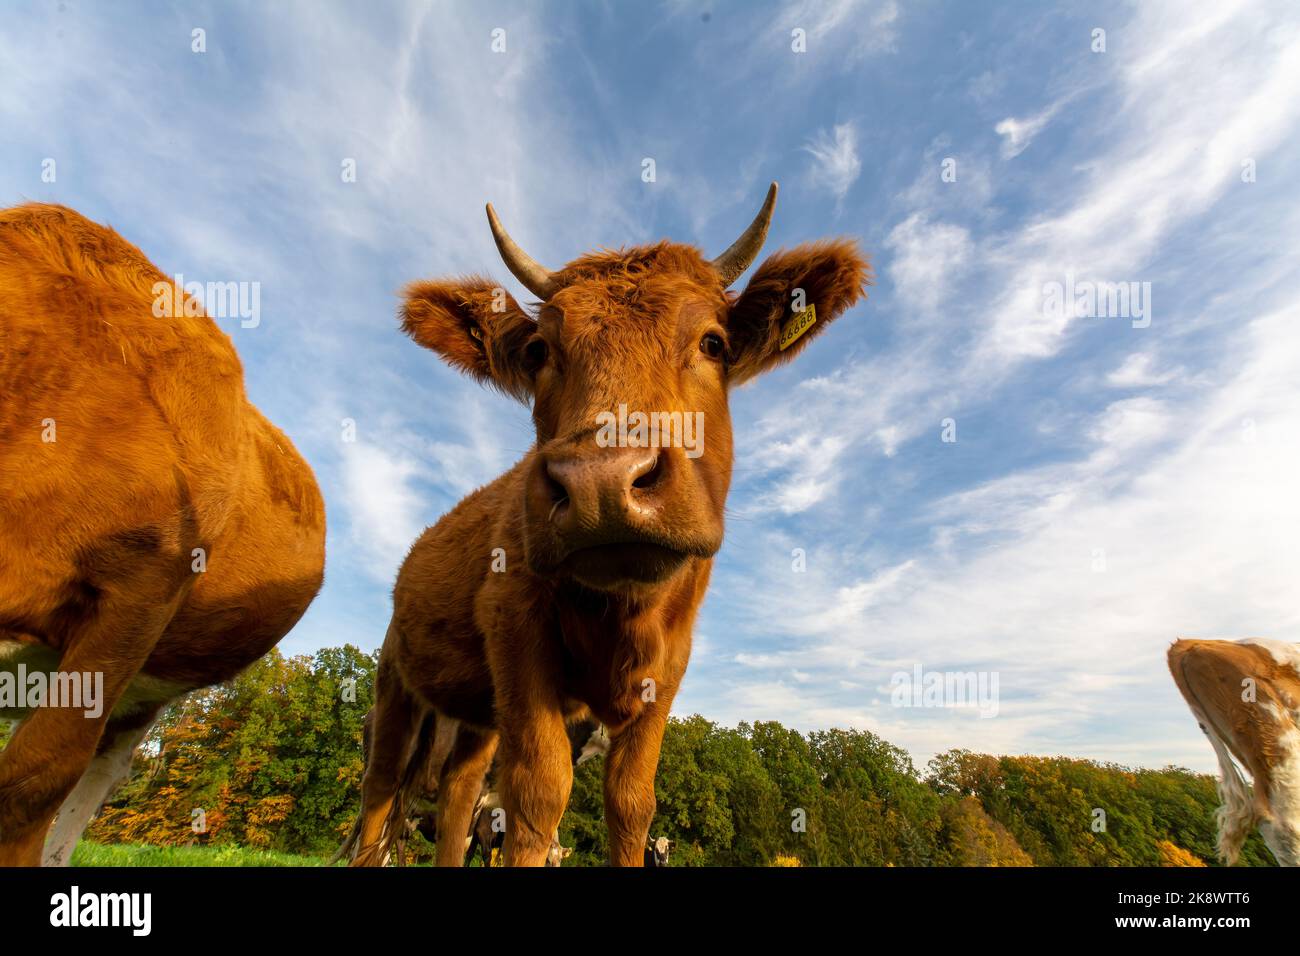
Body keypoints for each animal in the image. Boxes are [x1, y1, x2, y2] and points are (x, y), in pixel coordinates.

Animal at [348, 182, 870, 866]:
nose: (601, 483)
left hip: (475, 719)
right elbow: (539, 794)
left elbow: (631, 803)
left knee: (458, 794)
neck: (626, 613)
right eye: (539, 351)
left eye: (714, 343)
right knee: (380, 789)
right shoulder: (515, 630)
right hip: (393, 678)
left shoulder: (668, 670)